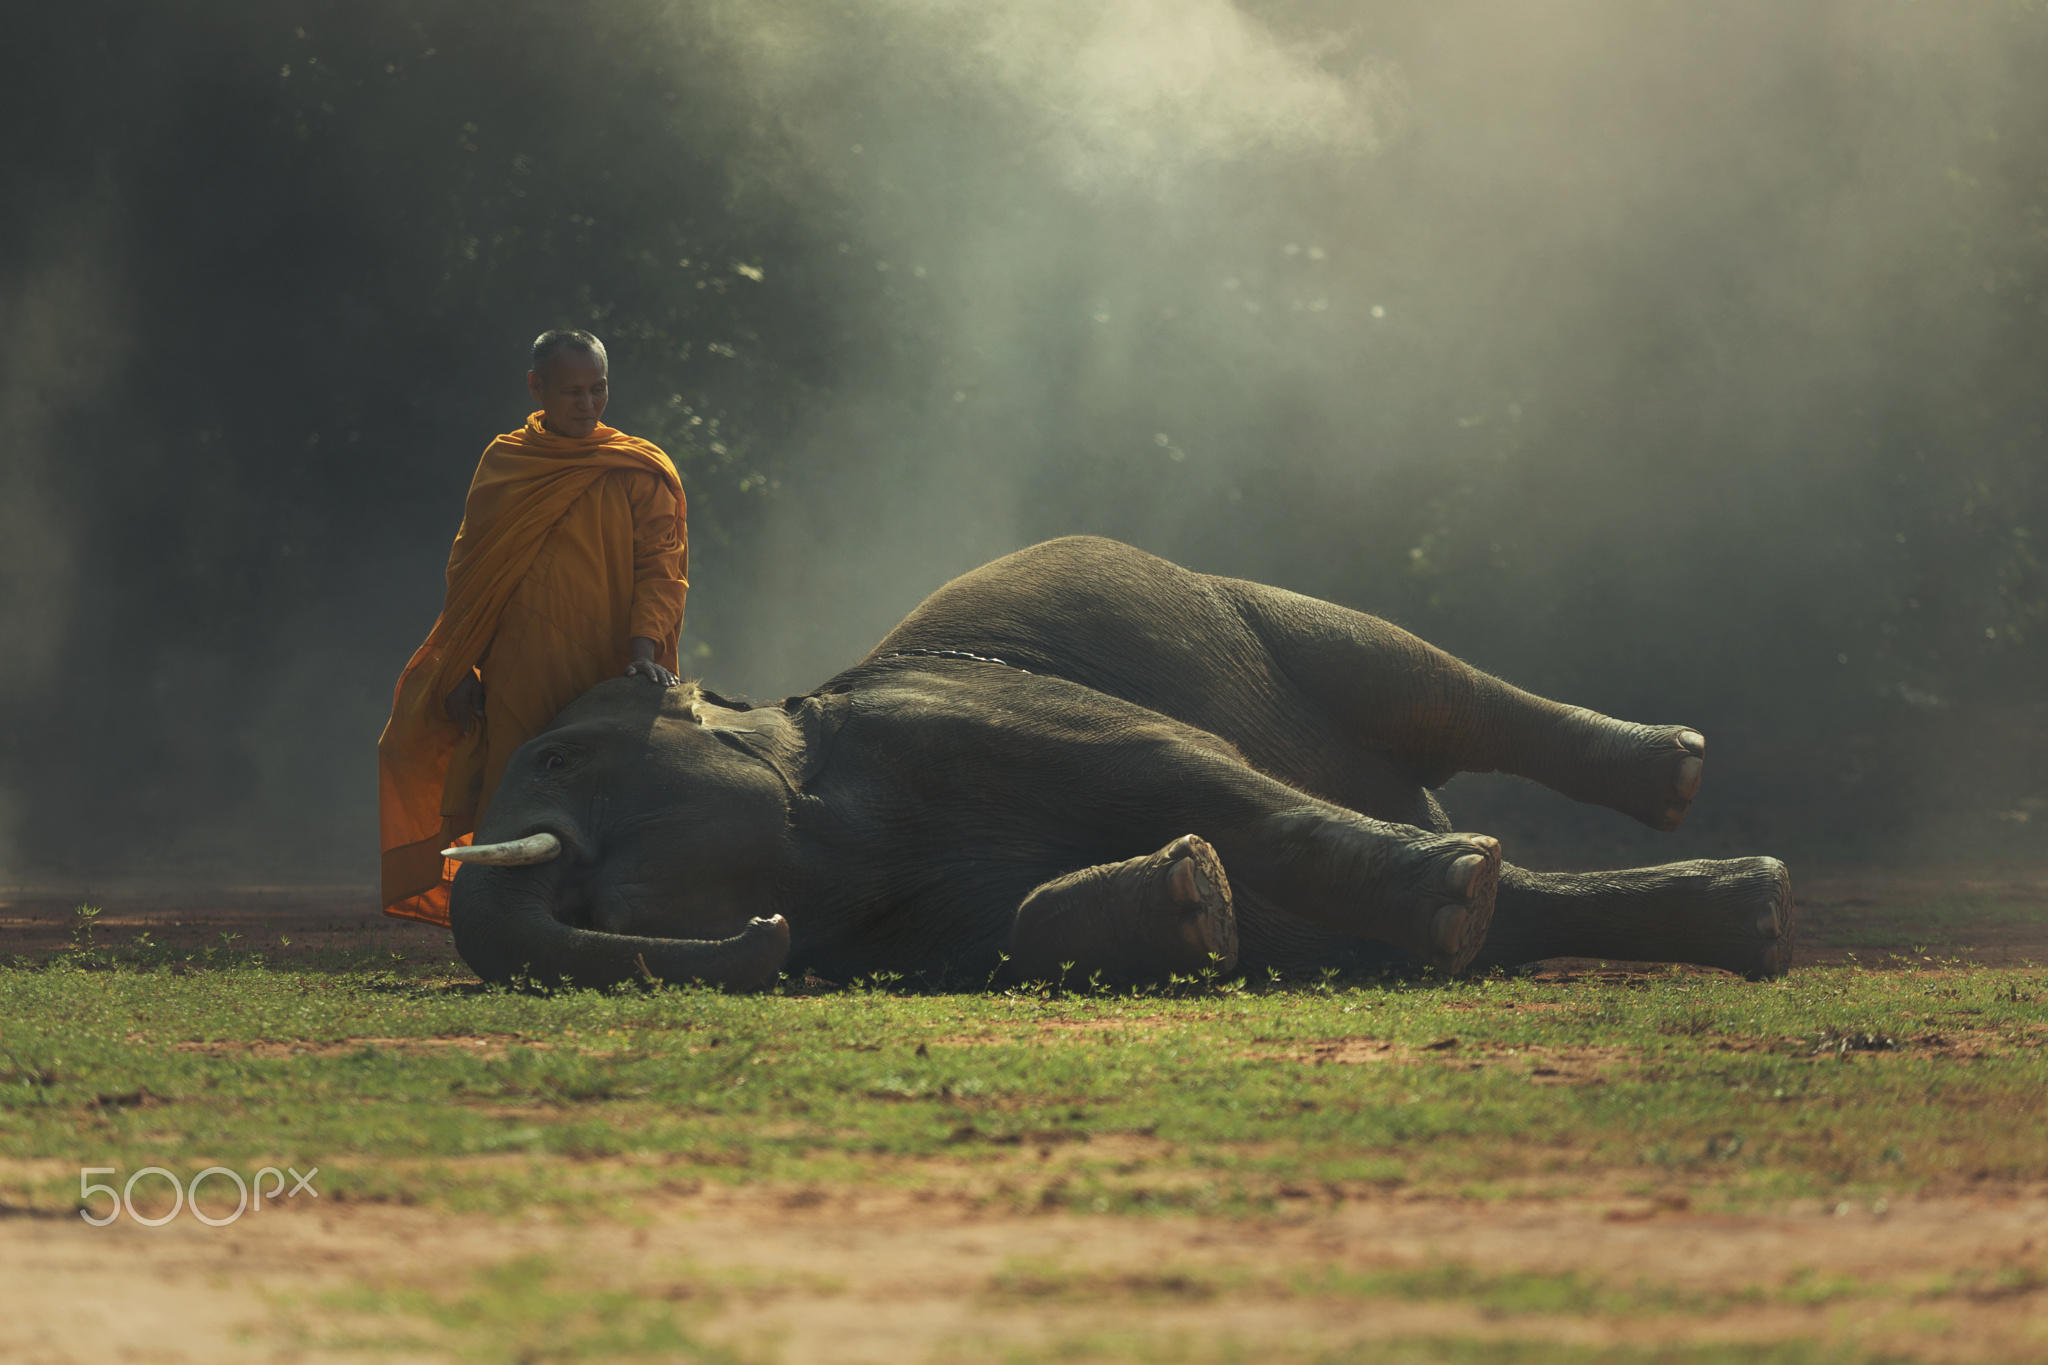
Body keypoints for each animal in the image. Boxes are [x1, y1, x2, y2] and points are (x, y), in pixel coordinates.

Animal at [444, 532, 1794, 994]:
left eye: (556, 755)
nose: (768, 941)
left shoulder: (974, 717)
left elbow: (1185, 774)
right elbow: (1018, 933)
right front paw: (1196, 904)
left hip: (1243, 605)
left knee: (1421, 687)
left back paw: (1660, 780)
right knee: (1518, 908)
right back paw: (1752, 915)